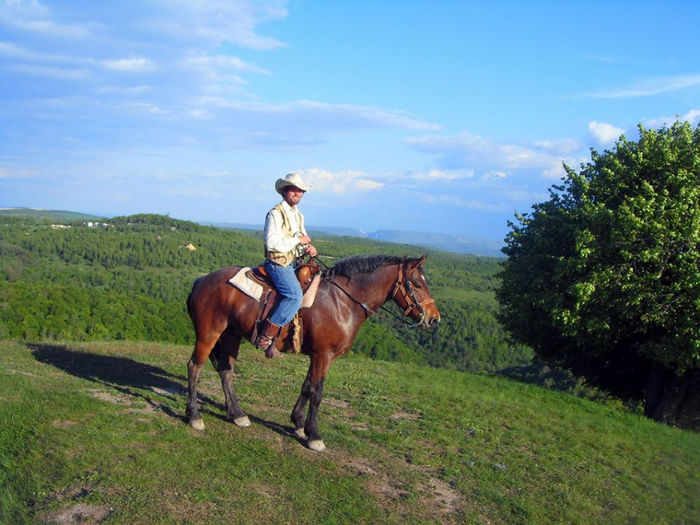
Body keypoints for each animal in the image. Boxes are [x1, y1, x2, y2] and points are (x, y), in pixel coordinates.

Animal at [185, 254, 438, 450]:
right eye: (416, 284)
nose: (434, 319)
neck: (342, 302)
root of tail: (201, 280)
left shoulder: (319, 356)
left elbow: (307, 387)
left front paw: (298, 424)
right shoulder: (323, 355)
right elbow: (317, 392)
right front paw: (314, 436)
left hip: (231, 335)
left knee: (225, 370)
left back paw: (237, 414)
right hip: (209, 334)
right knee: (195, 367)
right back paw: (194, 416)